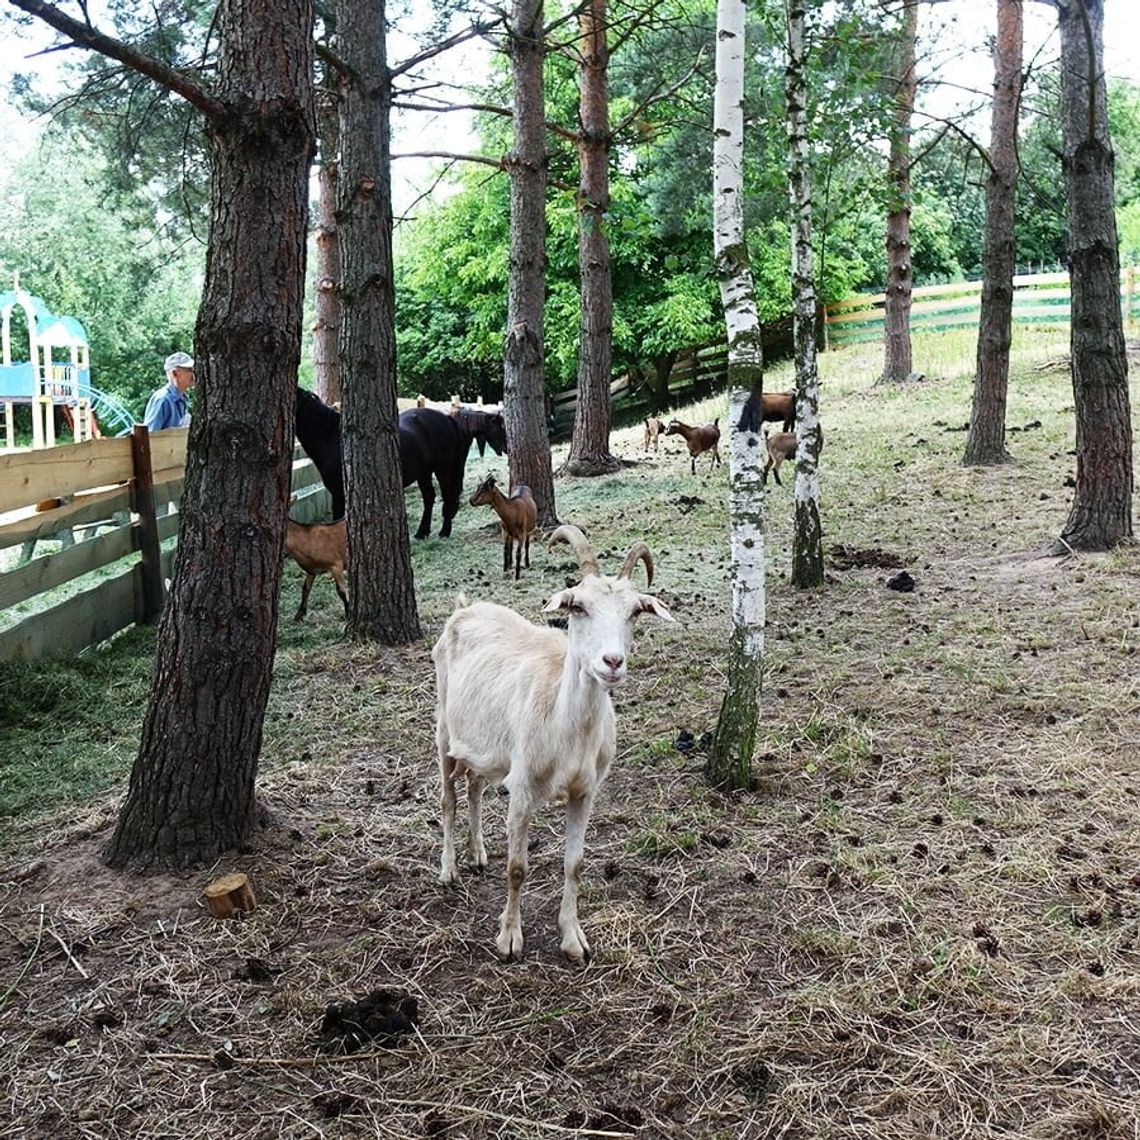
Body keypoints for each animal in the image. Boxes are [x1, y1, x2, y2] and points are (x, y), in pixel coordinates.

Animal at [294, 387, 508, 538]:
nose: (505, 448)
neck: (332, 437)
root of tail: (447, 419)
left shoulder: (340, 493)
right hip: (424, 472)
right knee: (429, 498)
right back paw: (422, 532)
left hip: (442, 468)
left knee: (447, 495)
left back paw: (444, 531)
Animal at [430, 524, 670, 962]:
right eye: (578, 607)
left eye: (634, 612)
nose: (612, 662)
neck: (567, 731)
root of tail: (464, 608)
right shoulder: (522, 787)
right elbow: (517, 868)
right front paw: (509, 939)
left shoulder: (585, 791)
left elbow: (575, 863)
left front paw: (573, 939)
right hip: (443, 727)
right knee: (448, 798)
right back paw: (449, 870)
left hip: (485, 745)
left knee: (474, 786)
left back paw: (477, 856)